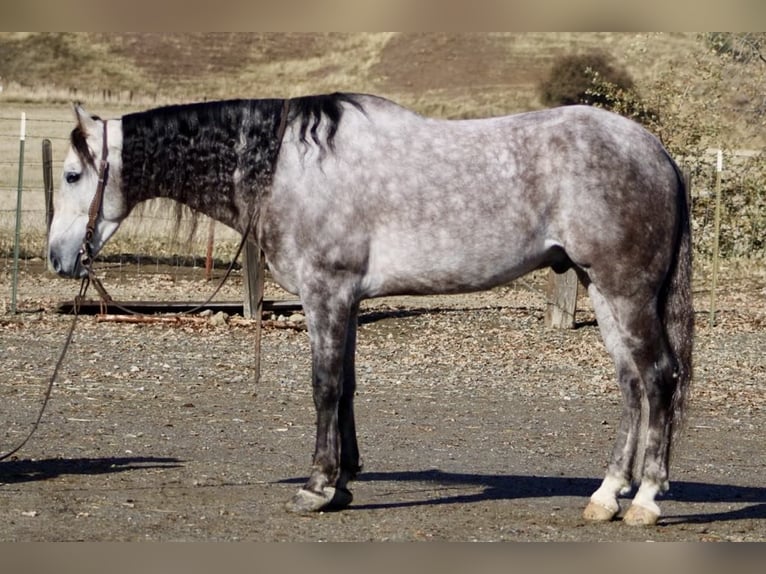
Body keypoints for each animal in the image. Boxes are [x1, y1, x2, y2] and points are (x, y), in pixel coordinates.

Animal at [47, 92, 693, 526]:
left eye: (74, 174)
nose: (58, 257)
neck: (288, 168)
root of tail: (657, 152)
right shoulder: (348, 301)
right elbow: (348, 387)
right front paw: (344, 482)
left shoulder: (326, 295)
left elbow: (324, 387)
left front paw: (317, 486)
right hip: (601, 291)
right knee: (632, 385)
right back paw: (607, 496)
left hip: (625, 292)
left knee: (659, 378)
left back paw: (646, 499)